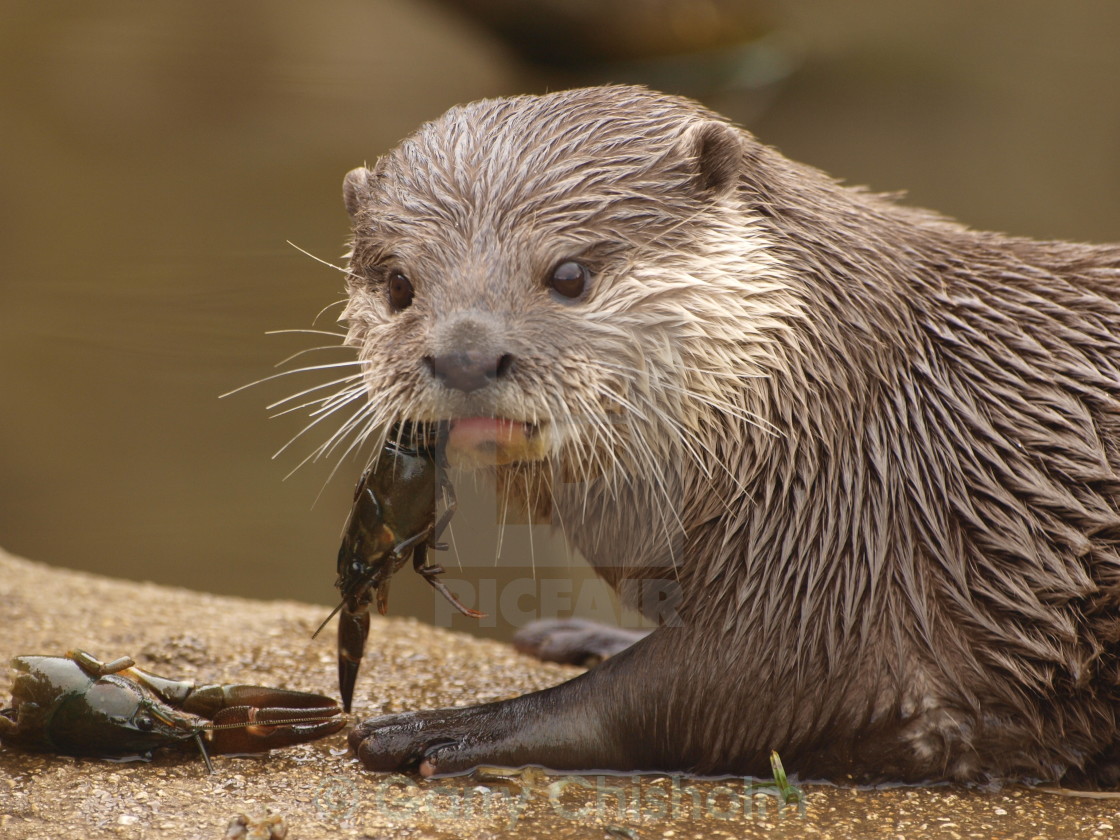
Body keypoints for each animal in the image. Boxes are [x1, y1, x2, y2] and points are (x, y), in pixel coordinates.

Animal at [333, 84, 1120, 784]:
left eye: (570, 274)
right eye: (399, 285)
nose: (465, 355)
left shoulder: (848, 547)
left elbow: (710, 690)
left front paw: (448, 727)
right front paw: (588, 634)